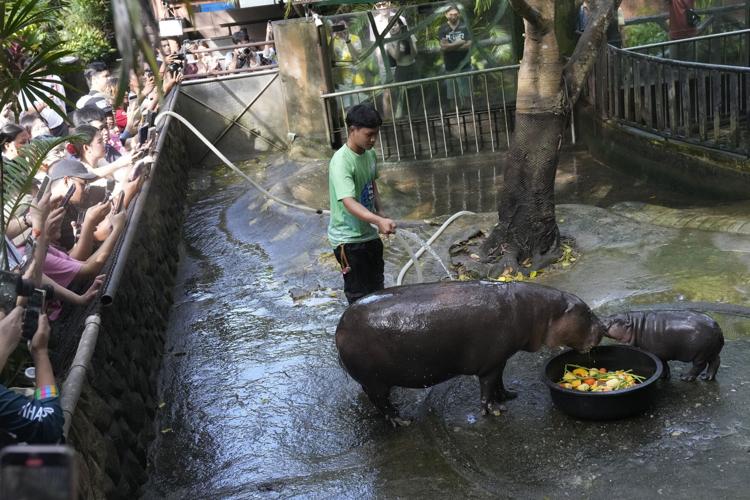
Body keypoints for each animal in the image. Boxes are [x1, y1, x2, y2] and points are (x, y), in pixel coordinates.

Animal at [335, 280, 605, 426]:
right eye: (587, 312)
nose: (604, 327)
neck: (540, 311)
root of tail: (340, 326)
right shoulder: (490, 363)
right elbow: (487, 387)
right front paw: (495, 411)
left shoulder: (500, 359)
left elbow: (499, 381)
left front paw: (509, 395)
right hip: (375, 382)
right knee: (381, 403)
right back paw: (401, 421)